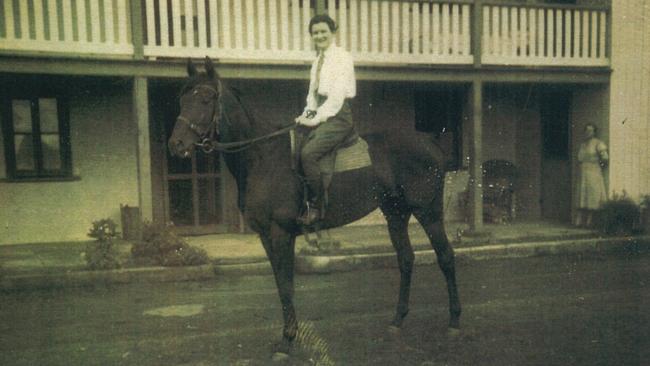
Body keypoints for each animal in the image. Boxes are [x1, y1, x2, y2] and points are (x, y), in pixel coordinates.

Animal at [167, 57, 460, 360]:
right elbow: (280, 282)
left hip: (428, 212)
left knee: (446, 257)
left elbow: (286, 285)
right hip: (396, 213)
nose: (176, 145)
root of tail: (431, 143)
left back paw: (454, 321)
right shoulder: (266, 236)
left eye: (206, 98)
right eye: (182, 99)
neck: (263, 158)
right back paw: (397, 320)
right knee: (406, 259)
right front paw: (288, 336)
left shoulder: (280, 233)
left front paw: (287, 341)